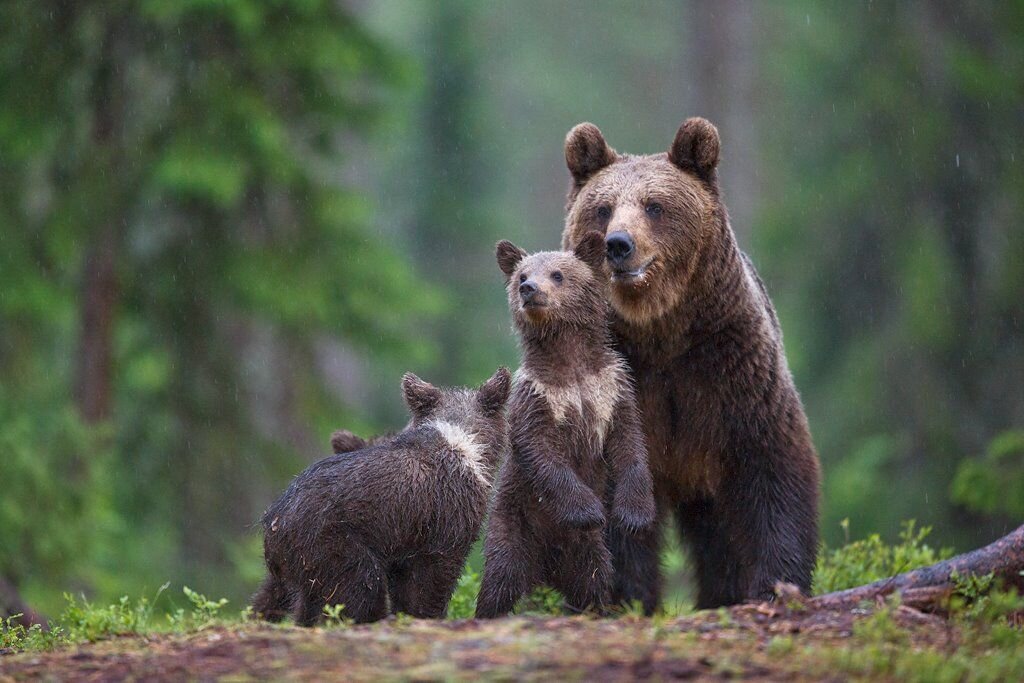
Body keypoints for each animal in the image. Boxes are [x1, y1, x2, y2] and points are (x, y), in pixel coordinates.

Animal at [561, 118, 823, 614]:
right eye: (603, 209)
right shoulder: (620, 387)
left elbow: (772, 468)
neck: (663, 332)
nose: (618, 245)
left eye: (654, 205)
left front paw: (776, 585)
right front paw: (624, 596)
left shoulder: (731, 370)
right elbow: (611, 495)